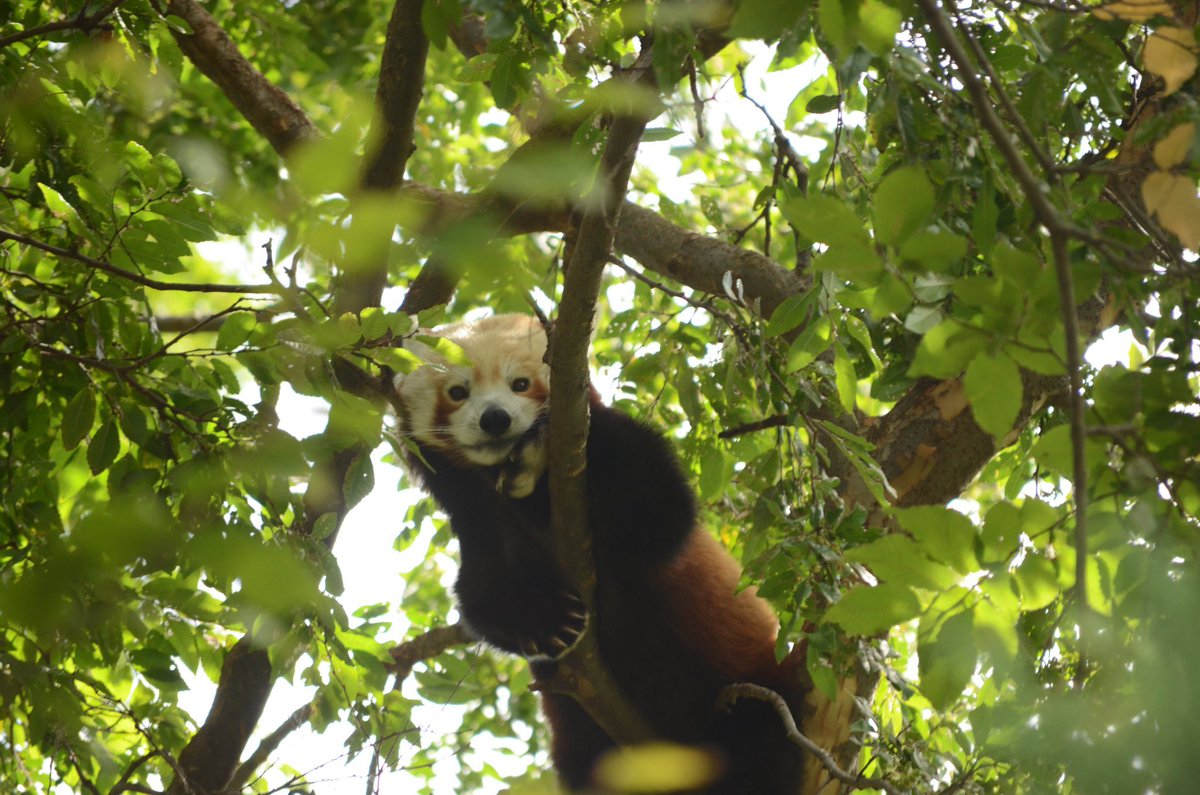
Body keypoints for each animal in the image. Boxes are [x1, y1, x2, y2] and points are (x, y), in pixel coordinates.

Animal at [393, 313, 805, 793]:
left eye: (520, 384)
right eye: (458, 392)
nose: (495, 419)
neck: (533, 506)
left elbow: (657, 515)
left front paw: (539, 449)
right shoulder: (482, 526)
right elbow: (484, 600)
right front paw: (547, 624)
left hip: (749, 684)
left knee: (760, 744)